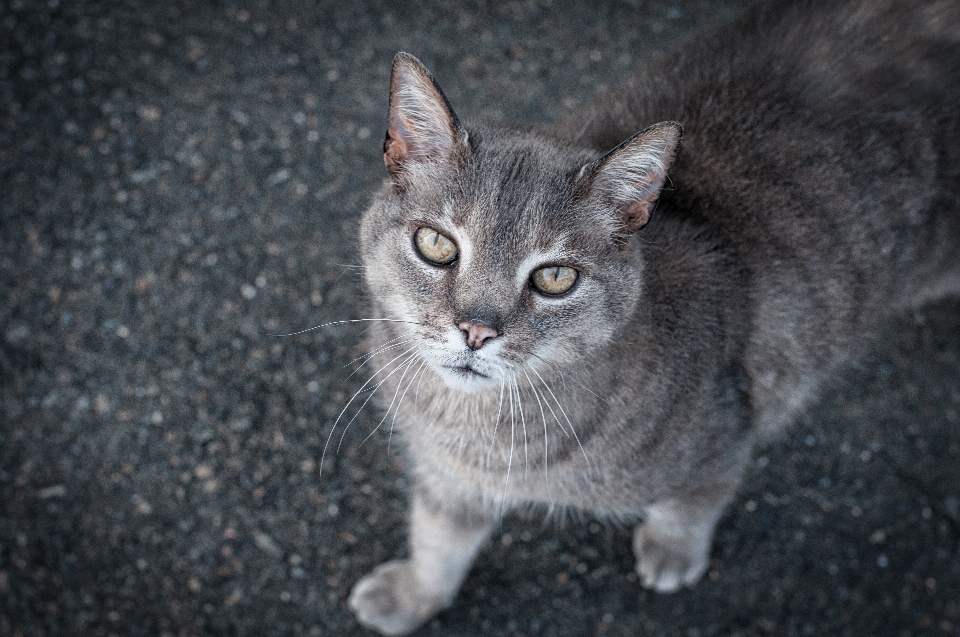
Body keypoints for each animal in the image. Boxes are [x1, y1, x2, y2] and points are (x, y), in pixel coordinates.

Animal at [344, 0, 960, 632]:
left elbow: (695, 504)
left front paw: (673, 550)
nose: (476, 330)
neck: (471, 431)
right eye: (436, 245)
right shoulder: (450, 480)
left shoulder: (723, 443)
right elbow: (438, 541)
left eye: (555, 278)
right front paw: (413, 594)